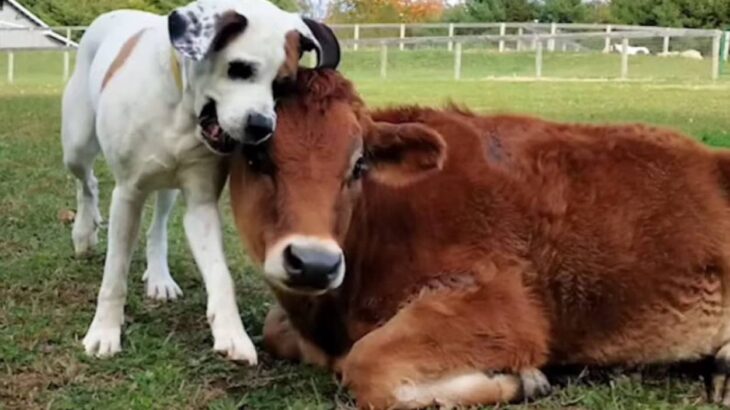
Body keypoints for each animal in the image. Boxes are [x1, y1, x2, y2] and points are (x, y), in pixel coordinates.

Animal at [61, 0, 340, 366]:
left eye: (283, 85)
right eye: (239, 69)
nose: (261, 126)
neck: (181, 109)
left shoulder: (201, 204)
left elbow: (221, 275)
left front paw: (232, 333)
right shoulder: (128, 195)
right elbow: (114, 274)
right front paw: (104, 331)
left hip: (166, 184)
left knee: (157, 227)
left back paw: (159, 277)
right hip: (77, 145)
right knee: (87, 183)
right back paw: (84, 231)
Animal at [230, 69, 728, 408]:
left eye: (358, 165)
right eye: (256, 157)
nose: (313, 262)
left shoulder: (501, 305)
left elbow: (367, 365)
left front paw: (522, 380)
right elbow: (275, 331)